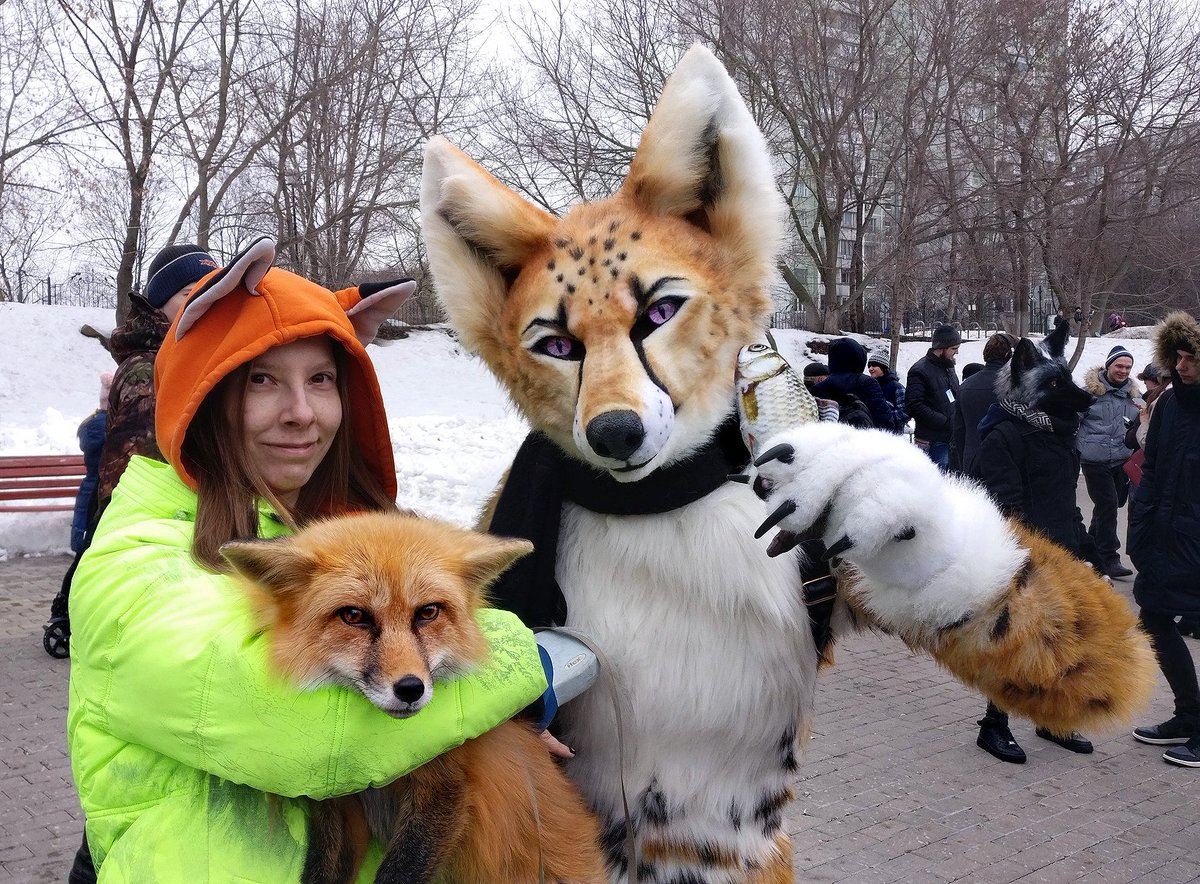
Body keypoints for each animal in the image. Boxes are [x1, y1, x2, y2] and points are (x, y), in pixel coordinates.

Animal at [222, 511, 607, 884]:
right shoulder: (336, 803)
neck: (380, 772)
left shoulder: (446, 790)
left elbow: (401, 871)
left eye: (428, 612)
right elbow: (321, 871)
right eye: (353, 615)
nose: (410, 688)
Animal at [419, 44, 1155, 883]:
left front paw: (877, 488)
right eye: (556, 345)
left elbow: (1084, 653)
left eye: (661, 312)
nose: (613, 433)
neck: (658, 501)